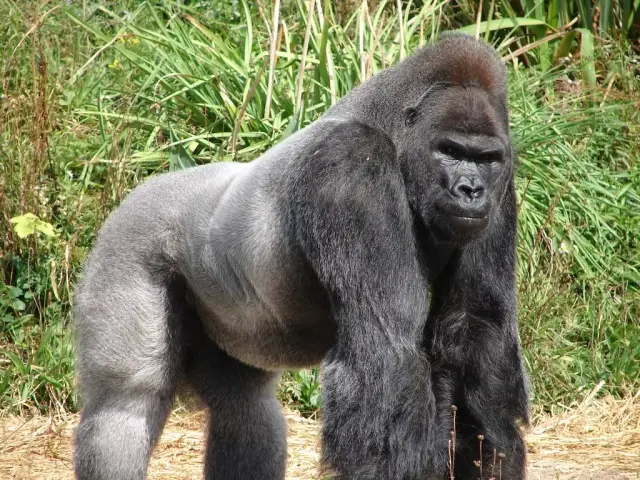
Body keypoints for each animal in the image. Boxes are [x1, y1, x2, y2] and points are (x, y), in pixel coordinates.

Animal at [74, 34, 528, 480]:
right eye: (450, 150)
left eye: (486, 159)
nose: (471, 190)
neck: (395, 136)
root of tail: (139, 192)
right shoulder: (350, 163)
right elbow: (385, 350)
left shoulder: (503, 185)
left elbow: (474, 330)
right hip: (130, 242)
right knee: (126, 404)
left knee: (244, 411)